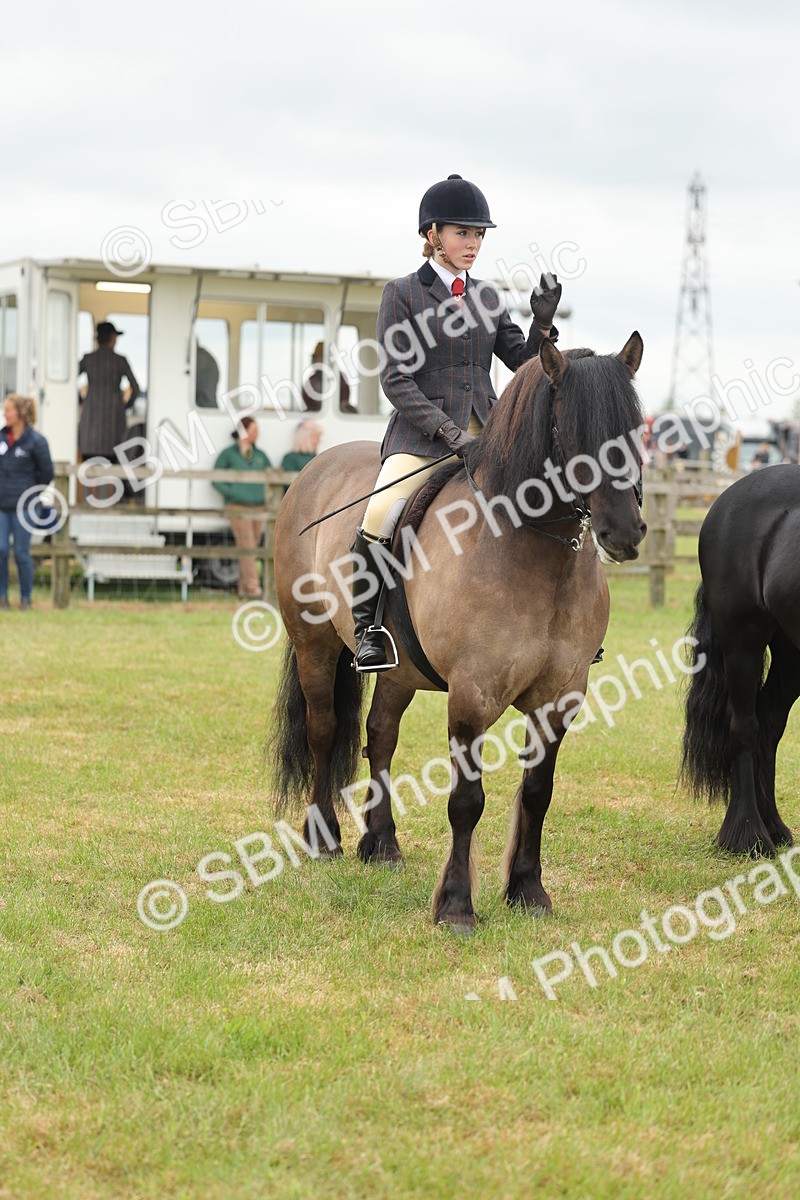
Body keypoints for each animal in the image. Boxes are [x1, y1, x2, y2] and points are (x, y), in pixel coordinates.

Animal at [270, 334, 646, 928]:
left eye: (636, 426)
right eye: (571, 429)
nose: (625, 533)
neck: (528, 545)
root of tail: (316, 466)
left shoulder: (560, 696)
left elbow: (538, 792)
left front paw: (528, 891)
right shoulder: (472, 694)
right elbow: (466, 801)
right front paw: (455, 905)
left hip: (398, 669)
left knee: (380, 734)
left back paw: (381, 844)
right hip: (315, 646)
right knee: (324, 730)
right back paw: (324, 837)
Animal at [681, 465, 800, 856]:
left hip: (790, 651)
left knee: (769, 723)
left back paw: (772, 825)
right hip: (742, 643)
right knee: (744, 727)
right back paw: (748, 834)